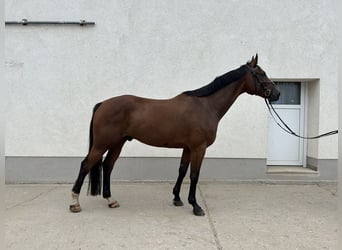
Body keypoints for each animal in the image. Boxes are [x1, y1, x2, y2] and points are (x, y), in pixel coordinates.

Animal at [70, 54, 280, 215]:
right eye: (261, 73)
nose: (276, 94)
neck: (206, 106)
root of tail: (103, 104)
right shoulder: (198, 148)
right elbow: (194, 175)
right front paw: (196, 206)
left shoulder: (187, 148)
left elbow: (182, 171)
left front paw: (177, 198)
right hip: (102, 144)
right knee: (86, 165)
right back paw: (75, 203)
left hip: (117, 143)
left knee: (108, 166)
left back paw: (111, 200)